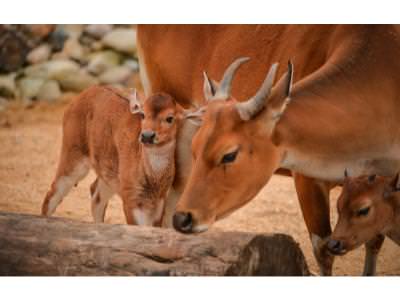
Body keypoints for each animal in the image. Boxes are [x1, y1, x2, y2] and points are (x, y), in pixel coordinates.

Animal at [41, 85, 186, 226]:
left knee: (96, 194)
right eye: (143, 115)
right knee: (52, 193)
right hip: (73, 155)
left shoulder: (159, 202)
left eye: (170, 118)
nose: (147, 136)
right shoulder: (131, 198)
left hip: (108, 173)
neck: (153, 181)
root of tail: (75, 100)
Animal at [137, 24, 400, 276]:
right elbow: (324, 251)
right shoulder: (307, 178)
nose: (184, 218)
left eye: (229, 154)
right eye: (197, 147)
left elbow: (374, 239)